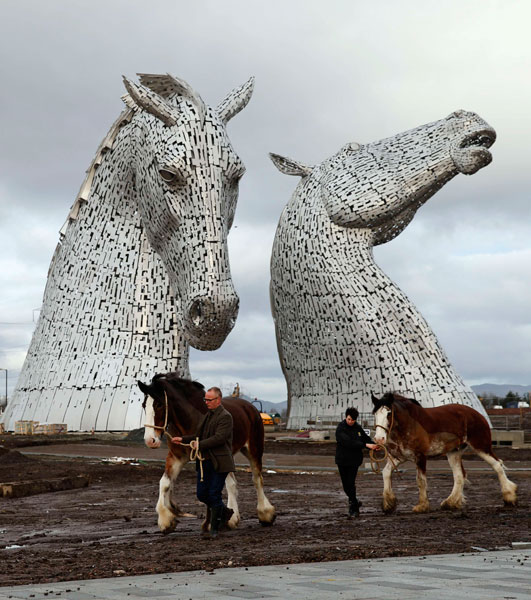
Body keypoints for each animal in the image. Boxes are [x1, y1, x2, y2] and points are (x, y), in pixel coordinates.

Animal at [137, 376, 278, 536]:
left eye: (159, 404)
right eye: (143, 405)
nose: (150, 440)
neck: (190, 420)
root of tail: (250, 407)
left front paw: (210, 523)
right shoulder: (176, 457)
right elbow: (165, 483)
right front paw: (166, 520)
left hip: (253, 449)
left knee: (257, 479)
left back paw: (265, 514)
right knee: (232, 484)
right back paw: (233, 517)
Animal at [372, 392, 516, 512]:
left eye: (388, 413)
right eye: (375, 414)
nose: (379, 438)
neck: (409, 424)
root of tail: (478, 415)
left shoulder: (420, 457)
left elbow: (420, 480)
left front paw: (422, 506)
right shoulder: (398, 457)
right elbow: (386, 473)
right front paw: (388, 504)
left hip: (481, 447)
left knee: (497, 465)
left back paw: (509, 497)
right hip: (454, 452)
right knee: (459, 475)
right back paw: (451, 502)